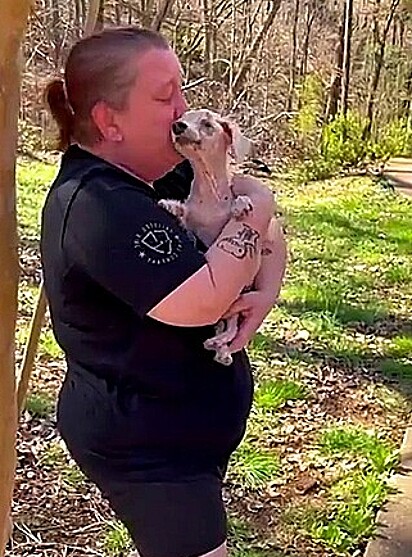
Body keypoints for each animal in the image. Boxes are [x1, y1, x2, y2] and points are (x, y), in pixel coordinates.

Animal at [160, 108, 260, 364]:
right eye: (183, 117)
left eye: (207, 124)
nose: (177, 126)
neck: (209, 194)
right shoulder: (192, 224)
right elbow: (185, 215)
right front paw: (171, 206)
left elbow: (237, 203)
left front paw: (240, 204)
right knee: (225, 328)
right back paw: (218, 346)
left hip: (236, 302)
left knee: (231, 329)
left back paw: (221, 349)